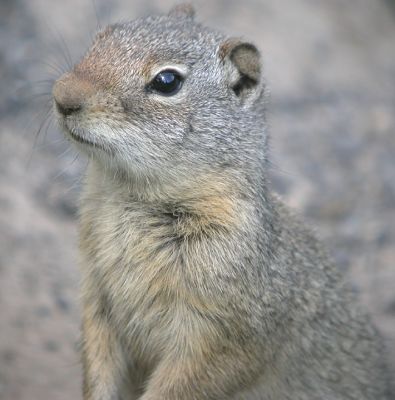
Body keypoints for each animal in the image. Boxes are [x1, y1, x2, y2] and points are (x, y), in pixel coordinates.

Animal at [51, 3, 392, 400]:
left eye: (167, 81)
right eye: (102, 37)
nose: (62, 96)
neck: (128, 195)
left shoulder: (224, 338)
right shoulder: (96, 300)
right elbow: (99, 362)